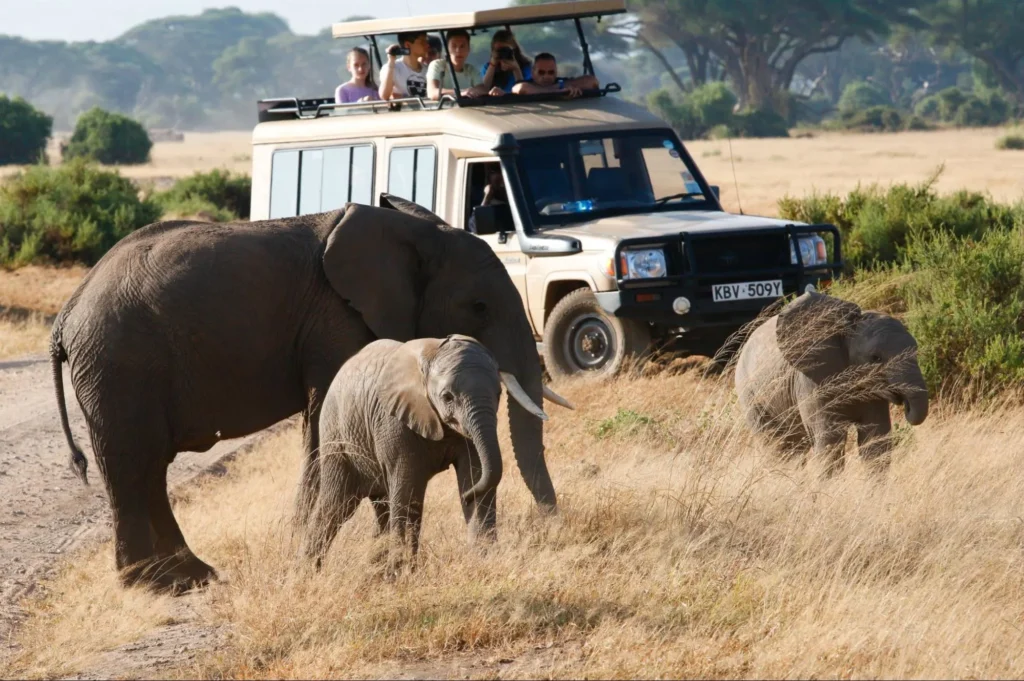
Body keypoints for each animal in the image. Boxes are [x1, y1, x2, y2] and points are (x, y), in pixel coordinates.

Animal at [302, 334, 546, 569]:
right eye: (447, 397)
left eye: (498, 394)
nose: (466, 497)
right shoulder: (394, 423)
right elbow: (409, 492)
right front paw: (402, 573)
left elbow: (476, 475)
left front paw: (484, 559)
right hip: (337, 436)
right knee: (336, 505)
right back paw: (308, 572)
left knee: (381, 505)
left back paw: (374, 571)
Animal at [734, 291, 929, 473]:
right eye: (876, 358)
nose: (906, 405)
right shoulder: (811, 381)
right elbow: (830, 443)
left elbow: (876, 439)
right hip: (749, 394)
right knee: (775, 445)